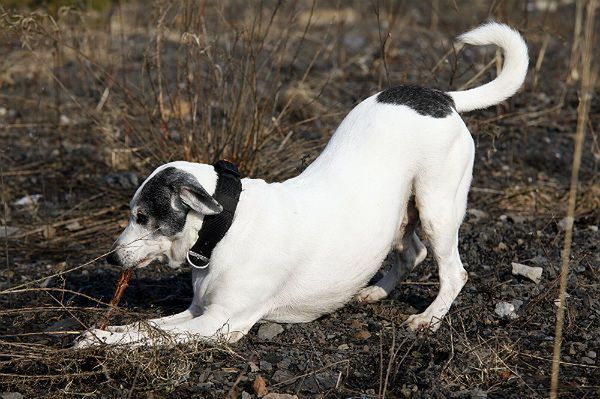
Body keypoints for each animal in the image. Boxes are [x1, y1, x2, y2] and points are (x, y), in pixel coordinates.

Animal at [74, 22, 524, 346]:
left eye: (142, 216)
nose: (111, 259)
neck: (225, 226)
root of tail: (442, 97)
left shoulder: (219, 324)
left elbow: (147, 332)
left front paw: (97, 339)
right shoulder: (197, 312)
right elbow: (149, 325)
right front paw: (105, 332)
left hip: (436, 208)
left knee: (454, 272)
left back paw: (429, 319)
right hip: (404, 211)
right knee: (412, 254)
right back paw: (376, 292)